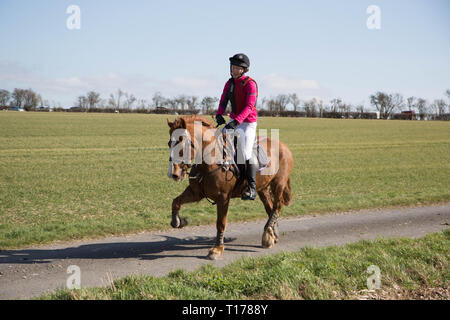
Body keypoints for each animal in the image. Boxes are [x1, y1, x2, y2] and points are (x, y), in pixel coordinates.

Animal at [167, 115, 294, 260]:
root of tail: (283, 146)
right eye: (169, 143)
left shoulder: (223, 198)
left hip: (278, 184)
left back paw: (267, 235)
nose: (174, 174)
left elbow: (221, 222)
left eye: (182, 144)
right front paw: (178, 221)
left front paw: (217, 249)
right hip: (263, 189)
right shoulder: (195, 193)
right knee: (270, 208)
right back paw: (273, 234)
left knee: (277, 206)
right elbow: (176, 202)